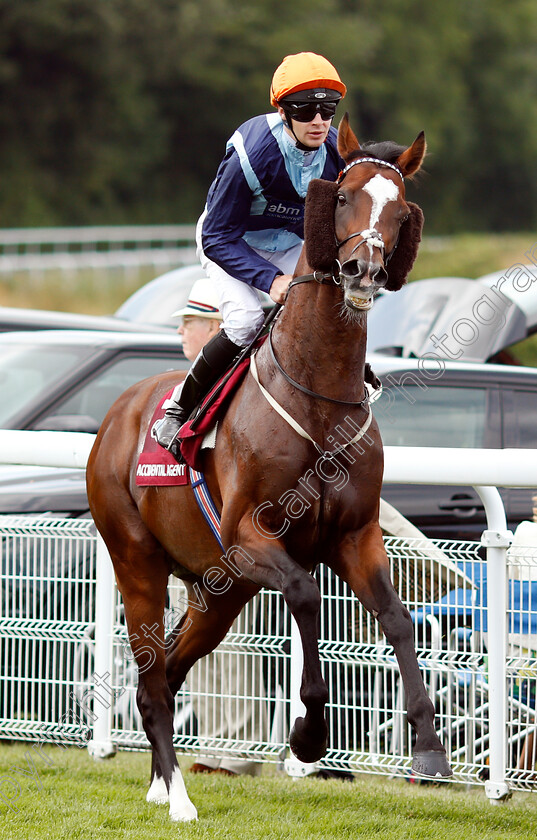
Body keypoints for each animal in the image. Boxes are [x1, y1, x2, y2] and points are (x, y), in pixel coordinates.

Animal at [86, 115, 450, 824]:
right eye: (343, 197)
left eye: (399, 211)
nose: (362, 268)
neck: (318, 393)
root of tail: (119, 413)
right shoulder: (252, 538)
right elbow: (307, 597)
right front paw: (309, 734)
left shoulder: (355, 535)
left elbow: (396, 618)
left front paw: (428, 746)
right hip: (140, 564)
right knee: (153, 678)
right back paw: (178, 799)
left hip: (219, 590)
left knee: (170, 670)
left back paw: (161, 783)